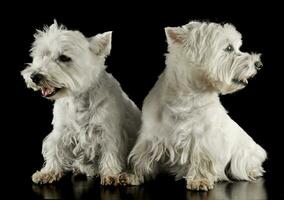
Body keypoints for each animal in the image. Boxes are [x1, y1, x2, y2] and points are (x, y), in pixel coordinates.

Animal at [20, 21, 141, 185]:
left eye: (64, 58)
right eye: (43, 54)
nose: (35, 76)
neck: (78, 98)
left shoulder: (109, 132)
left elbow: (111, 152)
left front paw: (111, 174)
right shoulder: (61, 131)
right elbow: (55, 149)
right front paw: (48, 172)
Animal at [126, 20, 266, 191]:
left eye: (237, 47)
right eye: (229, 48)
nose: (258, 64)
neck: (187, 96)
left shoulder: (203, 139)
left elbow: (202, 159)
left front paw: (200, 180)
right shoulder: (150, 136)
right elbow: (142, 156)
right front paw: (133, 174)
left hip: (247, 151)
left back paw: (252, 172)